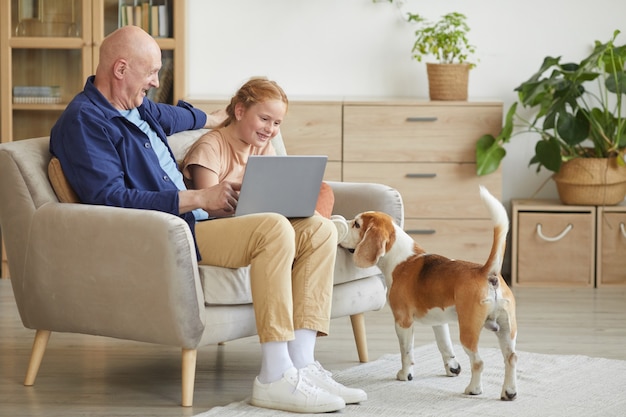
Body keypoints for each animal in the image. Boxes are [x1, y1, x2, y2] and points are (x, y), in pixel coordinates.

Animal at [338, 186, 516, 400]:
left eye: (357, 224)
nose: (342, 223)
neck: (400, 259)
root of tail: (486, 271)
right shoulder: (439, 322)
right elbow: (444, 346)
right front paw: (452, 368)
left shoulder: (403, 322)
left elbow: (406, 352)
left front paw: (405, 374)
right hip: (507, 330)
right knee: (511, 359)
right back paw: (509, 392)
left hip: (469, 330)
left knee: (479, 362)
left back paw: (473, 389)